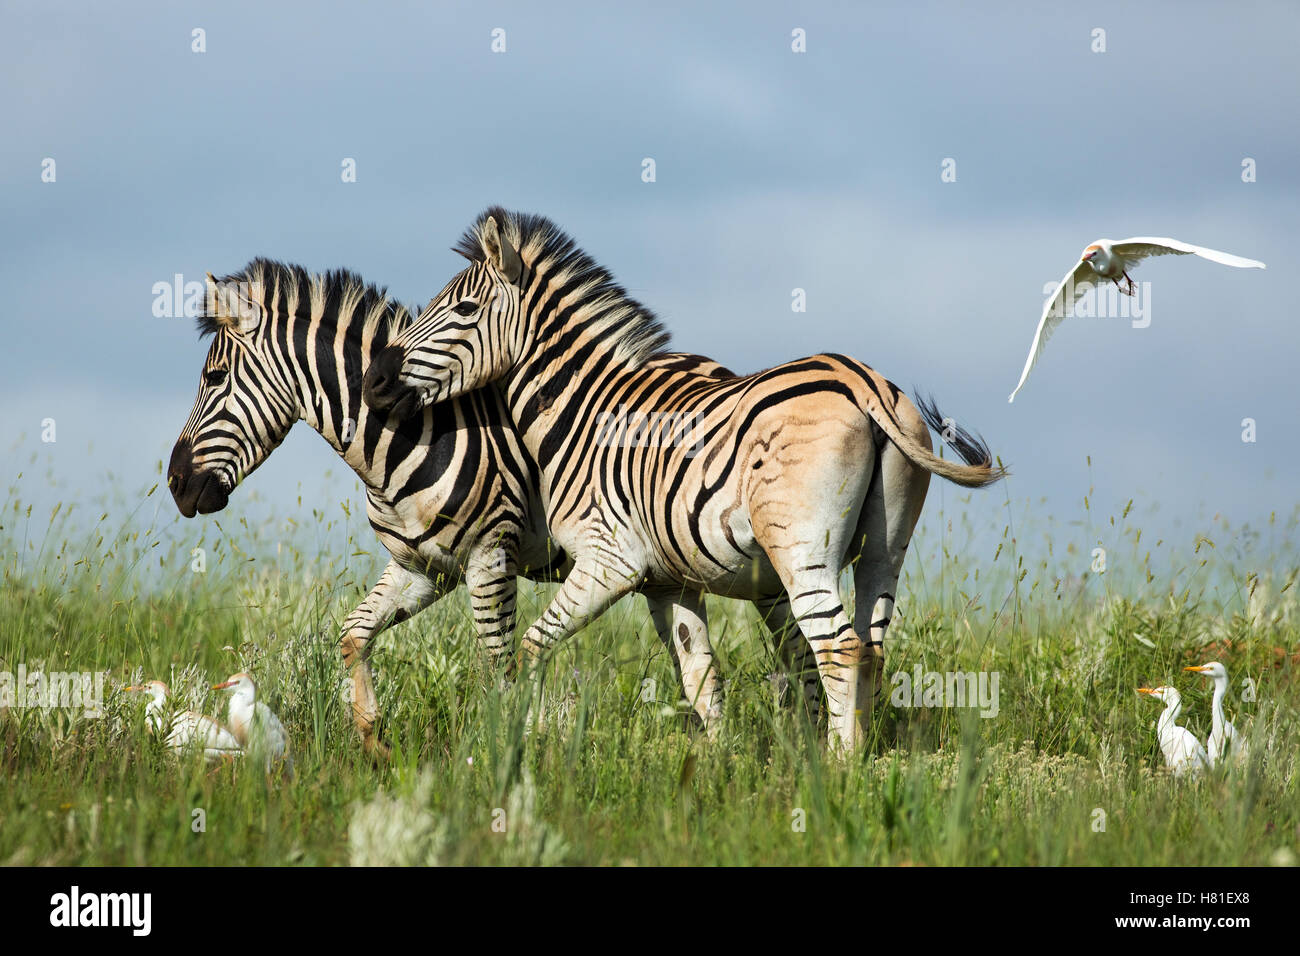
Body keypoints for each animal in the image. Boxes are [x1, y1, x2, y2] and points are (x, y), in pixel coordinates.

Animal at [167, 259, 810, 757]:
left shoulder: (489, 557)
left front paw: (505, 756)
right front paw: (374, 743)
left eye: (214, 377)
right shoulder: (422, 568)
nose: (175, 484)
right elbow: (354, 634)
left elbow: (497, 665)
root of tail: (710, 367)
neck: (409, 433)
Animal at [362, 208, 1008, 751]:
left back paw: (841, 770)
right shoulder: (669, 580)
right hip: (884, 545)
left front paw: (524, 745)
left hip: (803, 550)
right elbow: (702, 678)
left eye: (464, 312)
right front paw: (719, 773)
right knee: (871, 647)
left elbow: (529, 648)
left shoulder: (611, 562)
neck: (583, 413)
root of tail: (861, 381)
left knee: (841, 649)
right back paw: (861, 759)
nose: (374, 381)